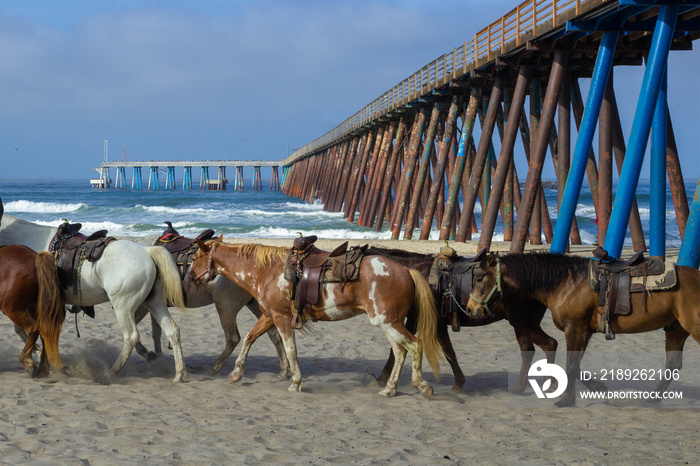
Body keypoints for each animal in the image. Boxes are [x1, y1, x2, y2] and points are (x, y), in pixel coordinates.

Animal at [0, 246, 65, 376]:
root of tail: (35, 257)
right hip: (35, 309)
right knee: (44, 331)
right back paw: (42, 369)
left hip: (11, 308)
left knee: (33, 328)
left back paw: (28, 362)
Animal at [189, 237, 442, 396]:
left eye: (196, 257)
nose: (190, 278)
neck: (267, 271)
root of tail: (406, 270)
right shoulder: (269, 315)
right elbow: (250, 338)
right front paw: (236, 373)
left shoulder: (281, 318)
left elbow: (290, 349)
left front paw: (296, 382)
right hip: (390, 323)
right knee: (400, 352)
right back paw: (389, 389)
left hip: (388, 322)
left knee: (414, 346)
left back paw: (420, 385)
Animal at [366, 246, 556, 396]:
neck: (415, 272)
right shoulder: (413, 320)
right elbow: (399, 350)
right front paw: (383, 378)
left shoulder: (436, 324)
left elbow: (447, 352)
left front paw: (458, 382)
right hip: (521, 325)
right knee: (528, 350)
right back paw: (520, 387)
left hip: (524, 322)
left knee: (549, 344)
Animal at [468, 251, 700, 408]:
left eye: (479, 278)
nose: (470, 309)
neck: (565, 282)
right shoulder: (583, 332)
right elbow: (576, 366)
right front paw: (599, 388)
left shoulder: (574, 329)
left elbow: (571, 365)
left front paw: (566, 400)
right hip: (676, 330)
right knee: (672, 365)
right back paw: (651, 400)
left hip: (693, 328)